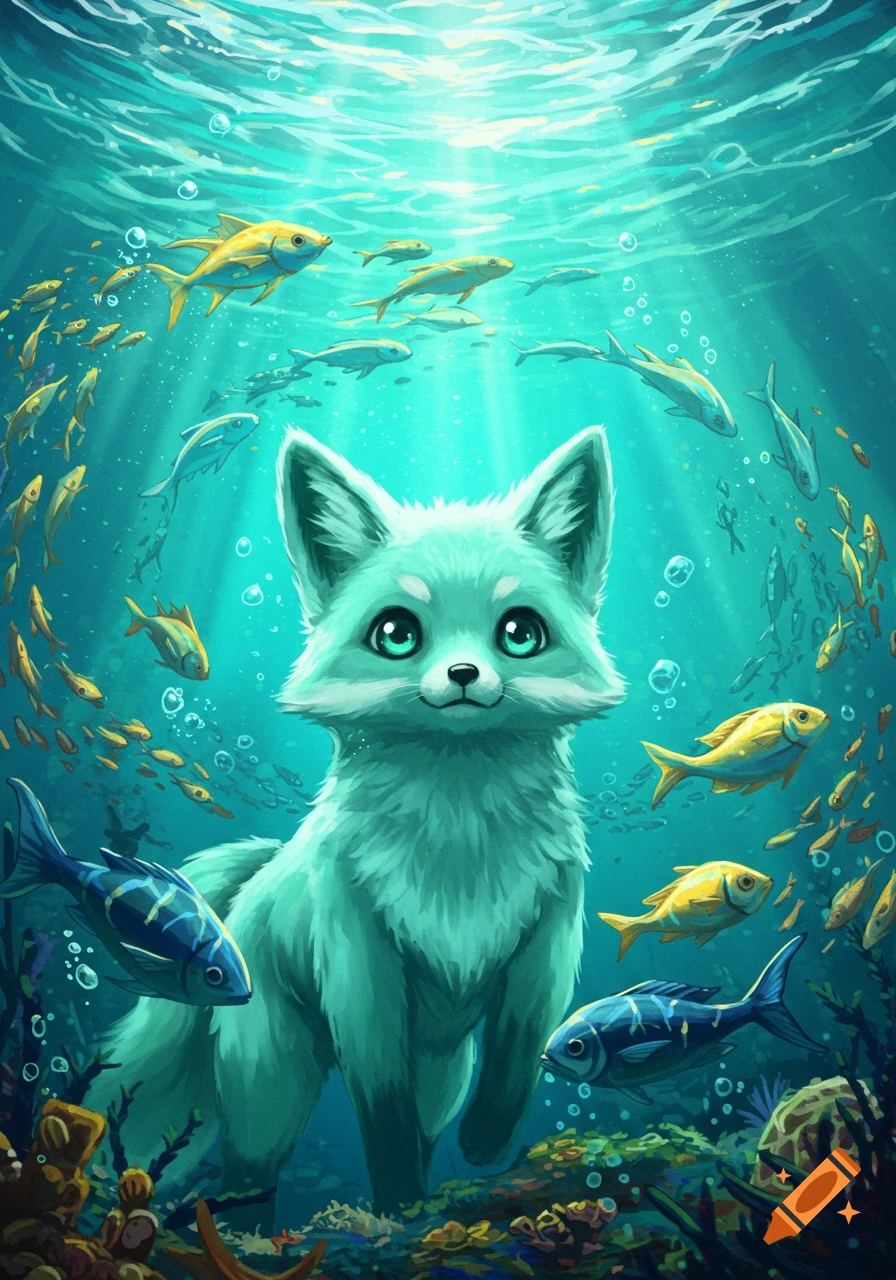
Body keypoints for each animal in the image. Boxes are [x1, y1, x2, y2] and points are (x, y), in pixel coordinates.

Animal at [90, 424, 624, 1216]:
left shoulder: (547, 946)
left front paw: (482, 1147)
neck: (458, 843)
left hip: (441, 1069)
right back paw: (258, 1231)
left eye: (519, 633)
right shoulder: (360, 969)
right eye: (397, 633)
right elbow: (381, 1110)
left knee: (429, 1122)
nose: (463, 675)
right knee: (248, 1173)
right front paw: (397, 1201)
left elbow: (517, 1063)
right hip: (272, 1089)